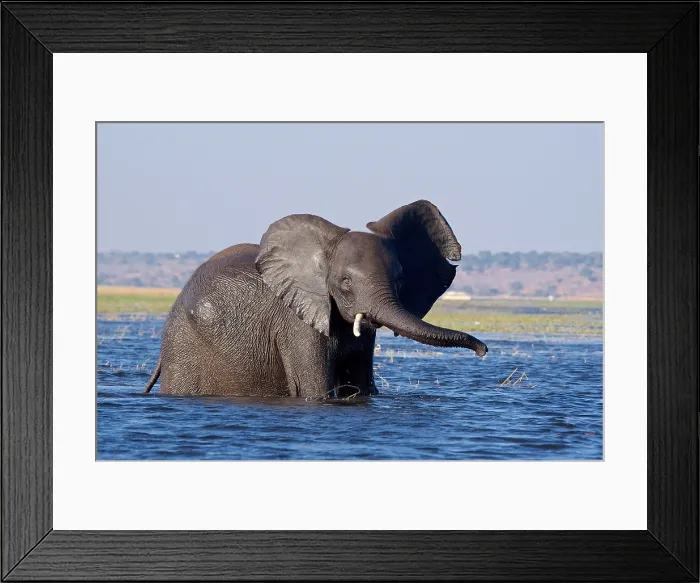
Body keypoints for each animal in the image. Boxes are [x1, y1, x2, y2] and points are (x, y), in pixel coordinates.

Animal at [143, 200, 488, 399]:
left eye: (401, 280)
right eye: (345, 283)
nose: (483, 351)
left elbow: (361, 384)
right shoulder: (295, 321)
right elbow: (316, 389)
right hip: (183, 346)